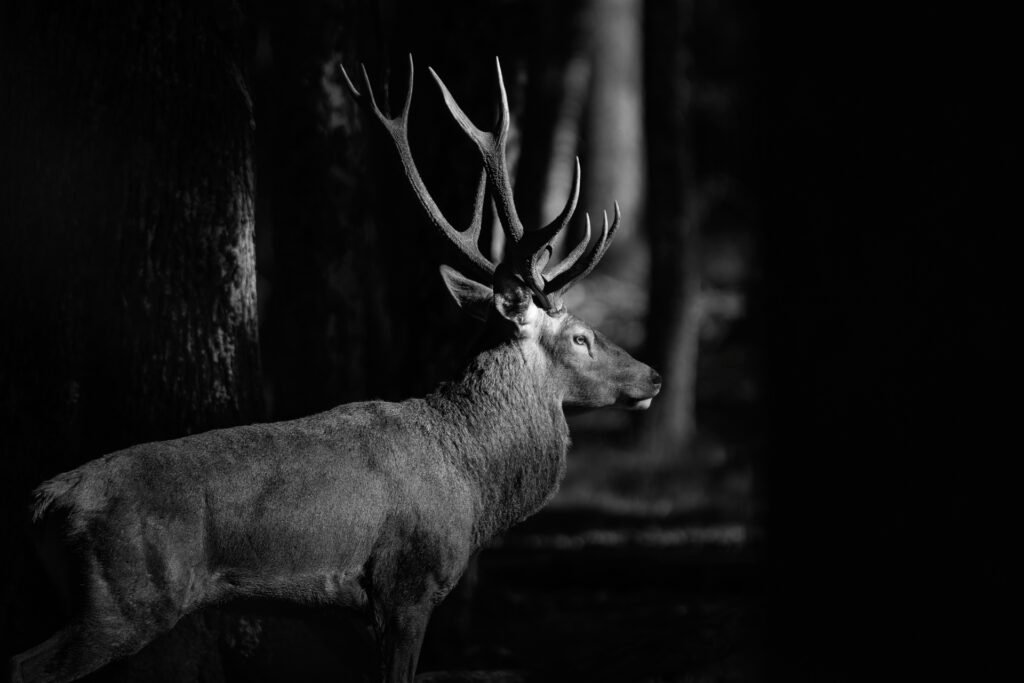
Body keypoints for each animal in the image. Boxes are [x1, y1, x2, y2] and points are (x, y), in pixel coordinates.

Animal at [8, 55, 661, 683]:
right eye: (581, 338)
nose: (651, 375)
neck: (472, 485)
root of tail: (45, 502)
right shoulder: (406, 584)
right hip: (122, 600)